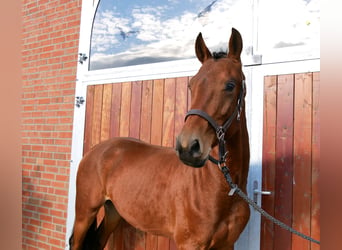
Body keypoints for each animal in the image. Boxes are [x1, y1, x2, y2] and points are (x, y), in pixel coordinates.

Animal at [69, 27, 250, 250]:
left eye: (230, 85)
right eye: (192, 85)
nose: (188, 146)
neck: (222, 190)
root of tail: (96, 150)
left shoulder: (227, 245)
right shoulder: (189, 244)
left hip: (113, 211)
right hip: (84, 213)